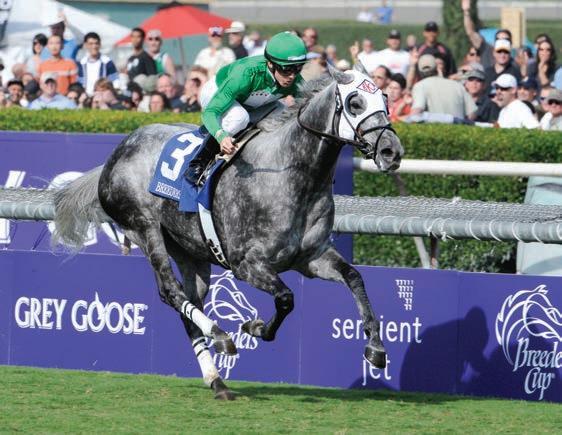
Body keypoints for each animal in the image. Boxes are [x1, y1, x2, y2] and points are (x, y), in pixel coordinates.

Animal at [53, 67, 404, 400]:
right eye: (355, 103)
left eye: (386, 100)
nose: (391, 152)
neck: (292, 173)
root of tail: (116, 154)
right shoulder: (246, 263)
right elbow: (286, 299)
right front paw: (255, 327)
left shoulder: (311, 258)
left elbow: (354, 277)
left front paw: (376, 348)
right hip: (144, 226)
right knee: (171, 291)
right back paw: (220, 336)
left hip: (190, 252)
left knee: (186, 301)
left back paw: (216, 380)